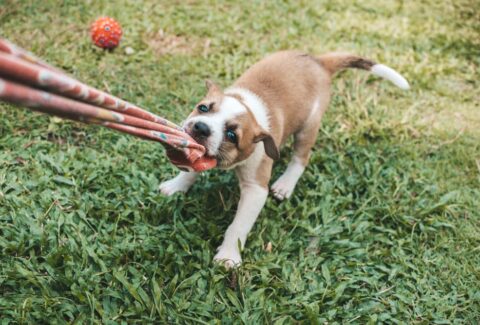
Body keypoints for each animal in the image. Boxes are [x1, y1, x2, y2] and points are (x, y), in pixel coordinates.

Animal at [159, 50, 406, 266]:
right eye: (203, 108)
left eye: (231, 135)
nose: (200, 127)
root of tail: (319, 61)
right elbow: (190, 170)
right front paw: (176, 185)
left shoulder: (256, 190)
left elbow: (238, 226)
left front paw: (229, 256)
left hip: (308, 128)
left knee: (301, 158)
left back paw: (286, 184)